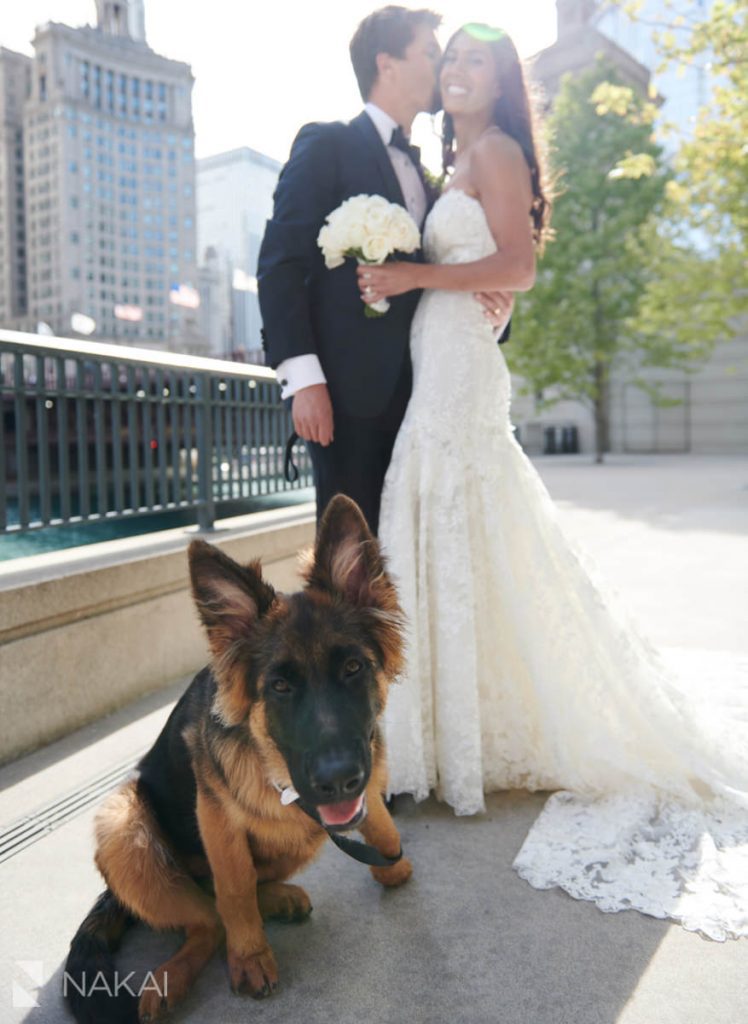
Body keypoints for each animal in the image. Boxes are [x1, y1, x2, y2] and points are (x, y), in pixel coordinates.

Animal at [66, 491, 409, 1019]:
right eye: (280, 687)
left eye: (354, 667)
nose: (338, 781)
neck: (275, 770)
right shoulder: (216, 817)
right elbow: (234, 890)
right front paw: (249, 956)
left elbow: (384, 839)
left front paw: (392, 860)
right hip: (123, 823)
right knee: (207, 917)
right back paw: (171, 980)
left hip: (296, 840)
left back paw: (279, 898)